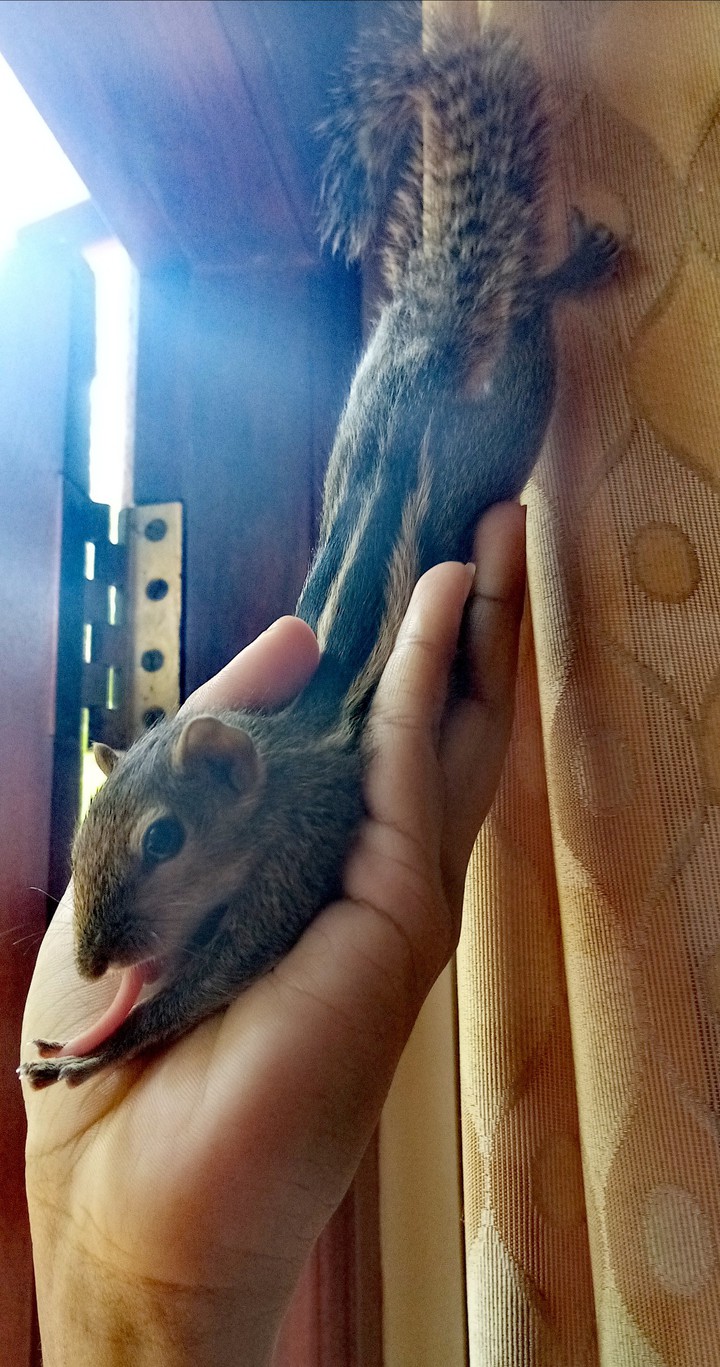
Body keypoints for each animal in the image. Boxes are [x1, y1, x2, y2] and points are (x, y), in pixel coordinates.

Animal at [21, 7, 620, 1087]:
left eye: (165, 838)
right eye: (86, 830)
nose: (87, 965)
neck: (273, 758)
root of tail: (421, 343)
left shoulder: (303, 840)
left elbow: (235, 958)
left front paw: (107, 1044)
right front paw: (82, 1040)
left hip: (502, 425)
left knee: (526, 324)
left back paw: (568, 271)